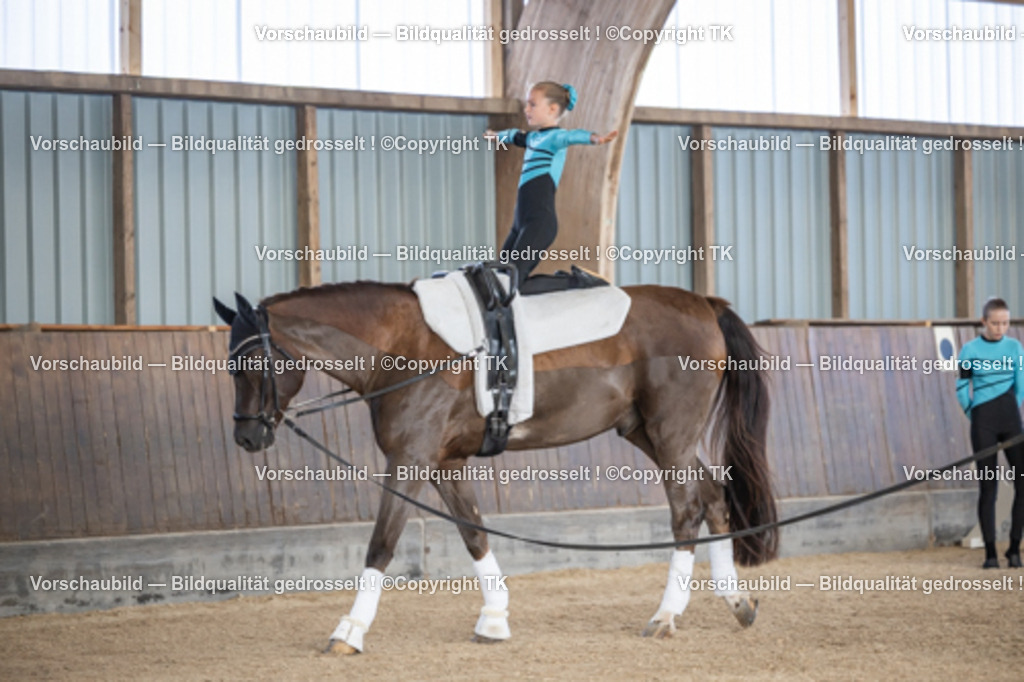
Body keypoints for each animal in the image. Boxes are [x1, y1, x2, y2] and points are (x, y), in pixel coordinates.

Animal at [213, 280, 778, 655]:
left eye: (251, 363)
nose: (246, 437)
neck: (404, 346)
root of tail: (704, 304)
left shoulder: (409, 459)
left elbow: (382, 543)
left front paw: (349, 631)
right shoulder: (445, 462)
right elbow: (473, 533)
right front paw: (494, 619)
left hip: (671, 433)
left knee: (687, 510)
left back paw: (665, 616)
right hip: (650, 434)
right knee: (713, 497)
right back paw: (737, 603)